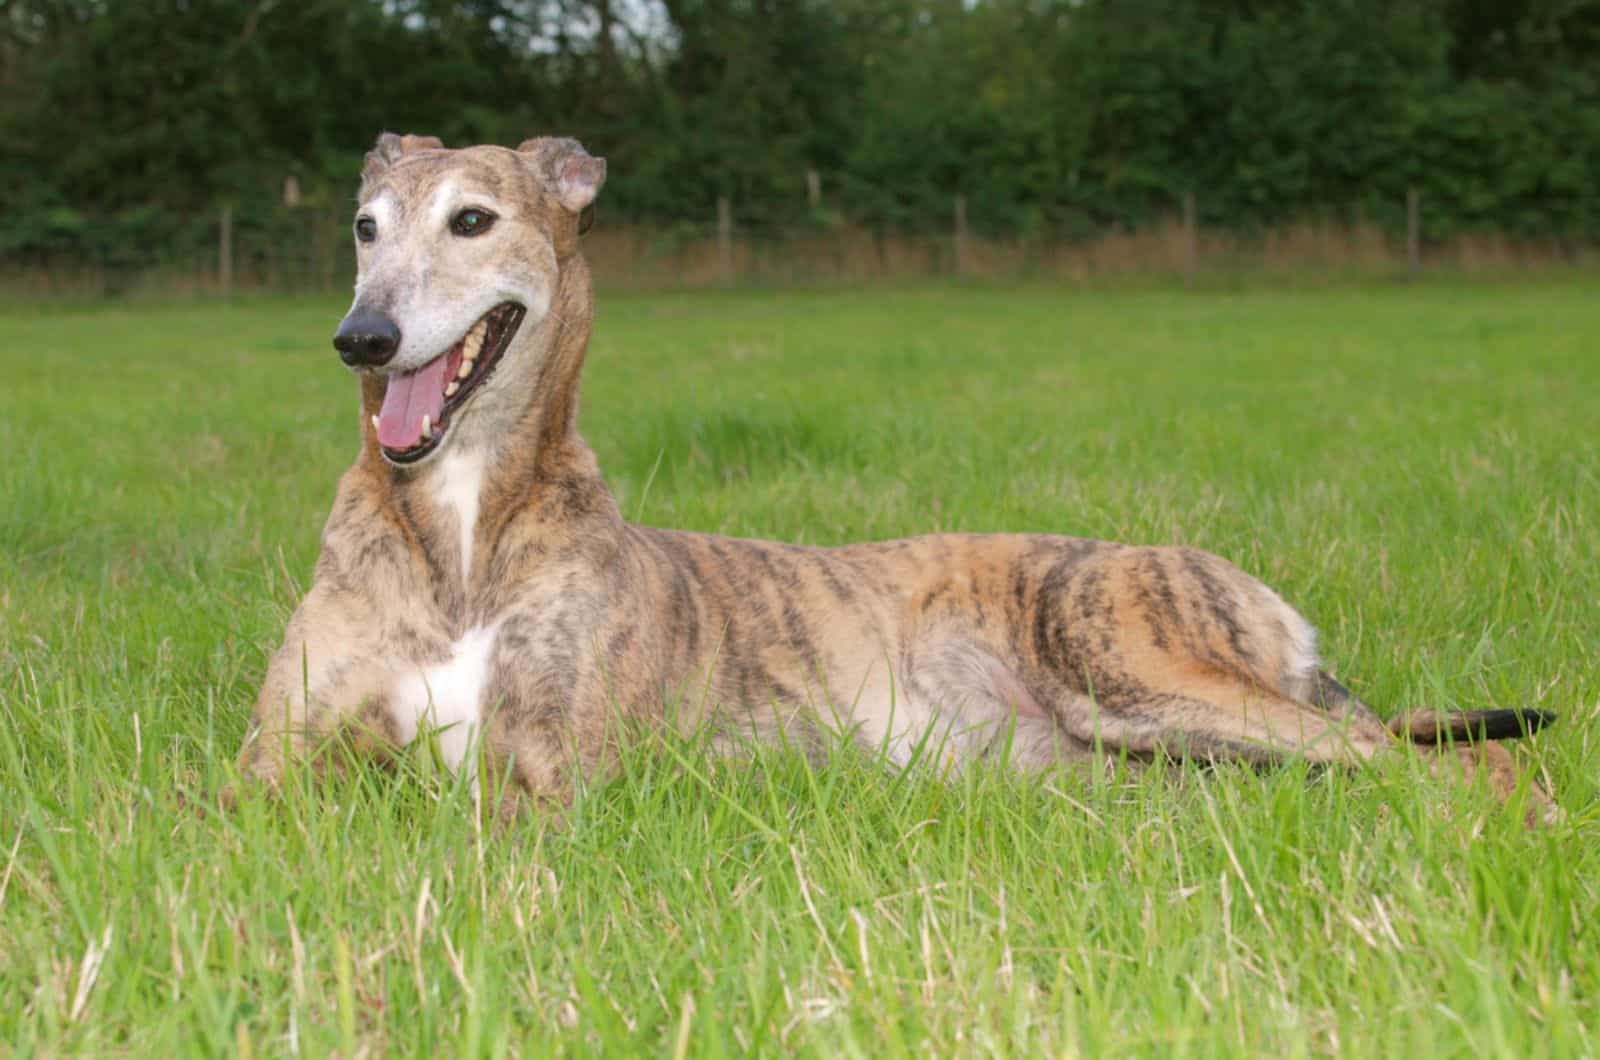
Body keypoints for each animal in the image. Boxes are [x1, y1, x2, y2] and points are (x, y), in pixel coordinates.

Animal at [232, 132, 1555, 826]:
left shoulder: (563, 767)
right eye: (364, 225)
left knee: (1448, 757)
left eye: (473, 219)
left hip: (1138, 666)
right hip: (1136, 756)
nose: (361, 338)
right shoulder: (270, 763)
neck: (461, 527)